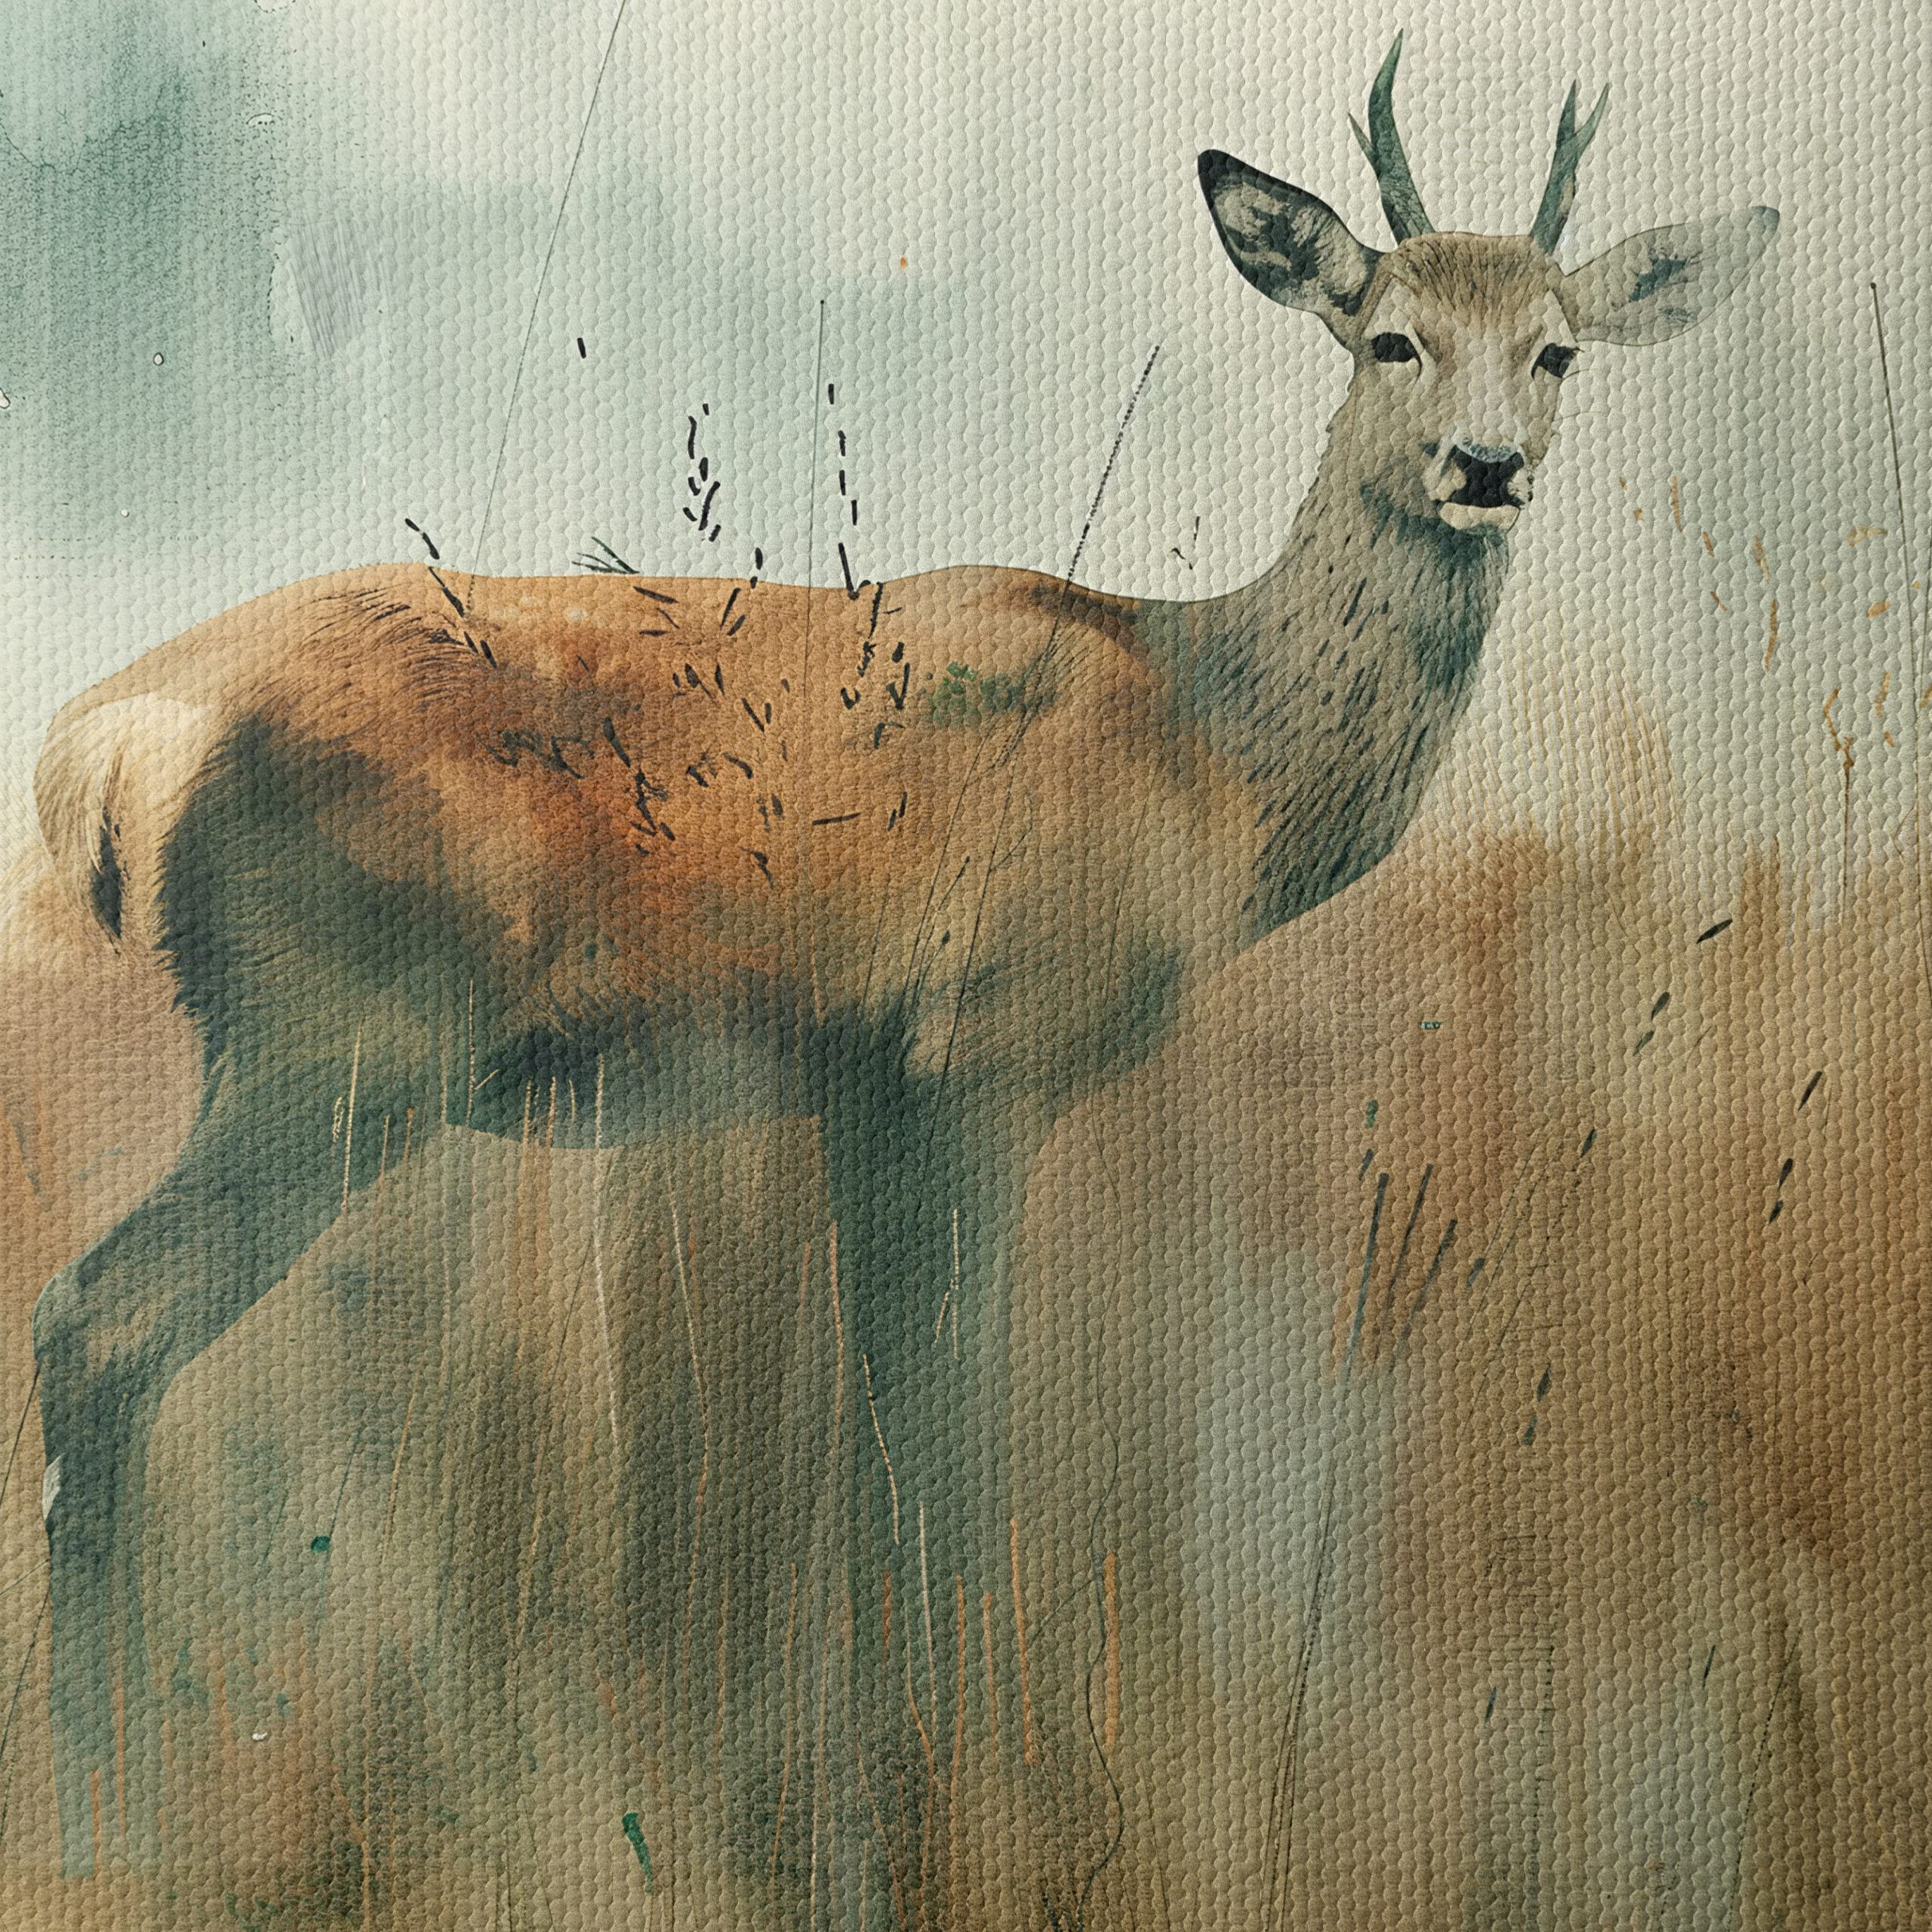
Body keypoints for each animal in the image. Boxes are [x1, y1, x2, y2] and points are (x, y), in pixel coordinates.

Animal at [20, 36, 1775, 1880]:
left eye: (1556, 346)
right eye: (1390, 335)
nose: (1485, 464)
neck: (1205, 757)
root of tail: (105, 738)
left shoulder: (867, 1083)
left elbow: (881, 1426)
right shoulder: (980, 1051)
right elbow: (951, 1428)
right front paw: (975, 1777)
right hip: (338, 1038)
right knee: (98, 1322)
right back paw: (108, 1808)